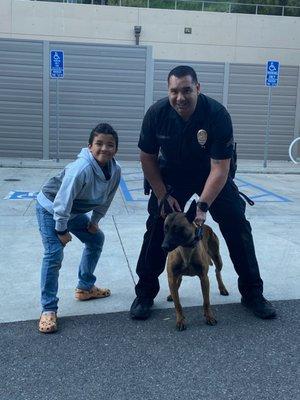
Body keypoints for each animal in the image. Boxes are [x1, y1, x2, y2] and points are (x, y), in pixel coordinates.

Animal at [162, 200, 230, 332]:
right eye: (165, 229)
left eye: (177, 229)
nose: (164, 247)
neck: (185, 249)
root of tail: (206, 226)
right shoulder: (172, 276)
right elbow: (177, 304)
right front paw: (180, 320)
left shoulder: (204, 278)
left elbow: (206, 301)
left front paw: (209, 316)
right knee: (178, 282)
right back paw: (172, 293)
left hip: (217, 258)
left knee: (217, 272)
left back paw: (222, 288)